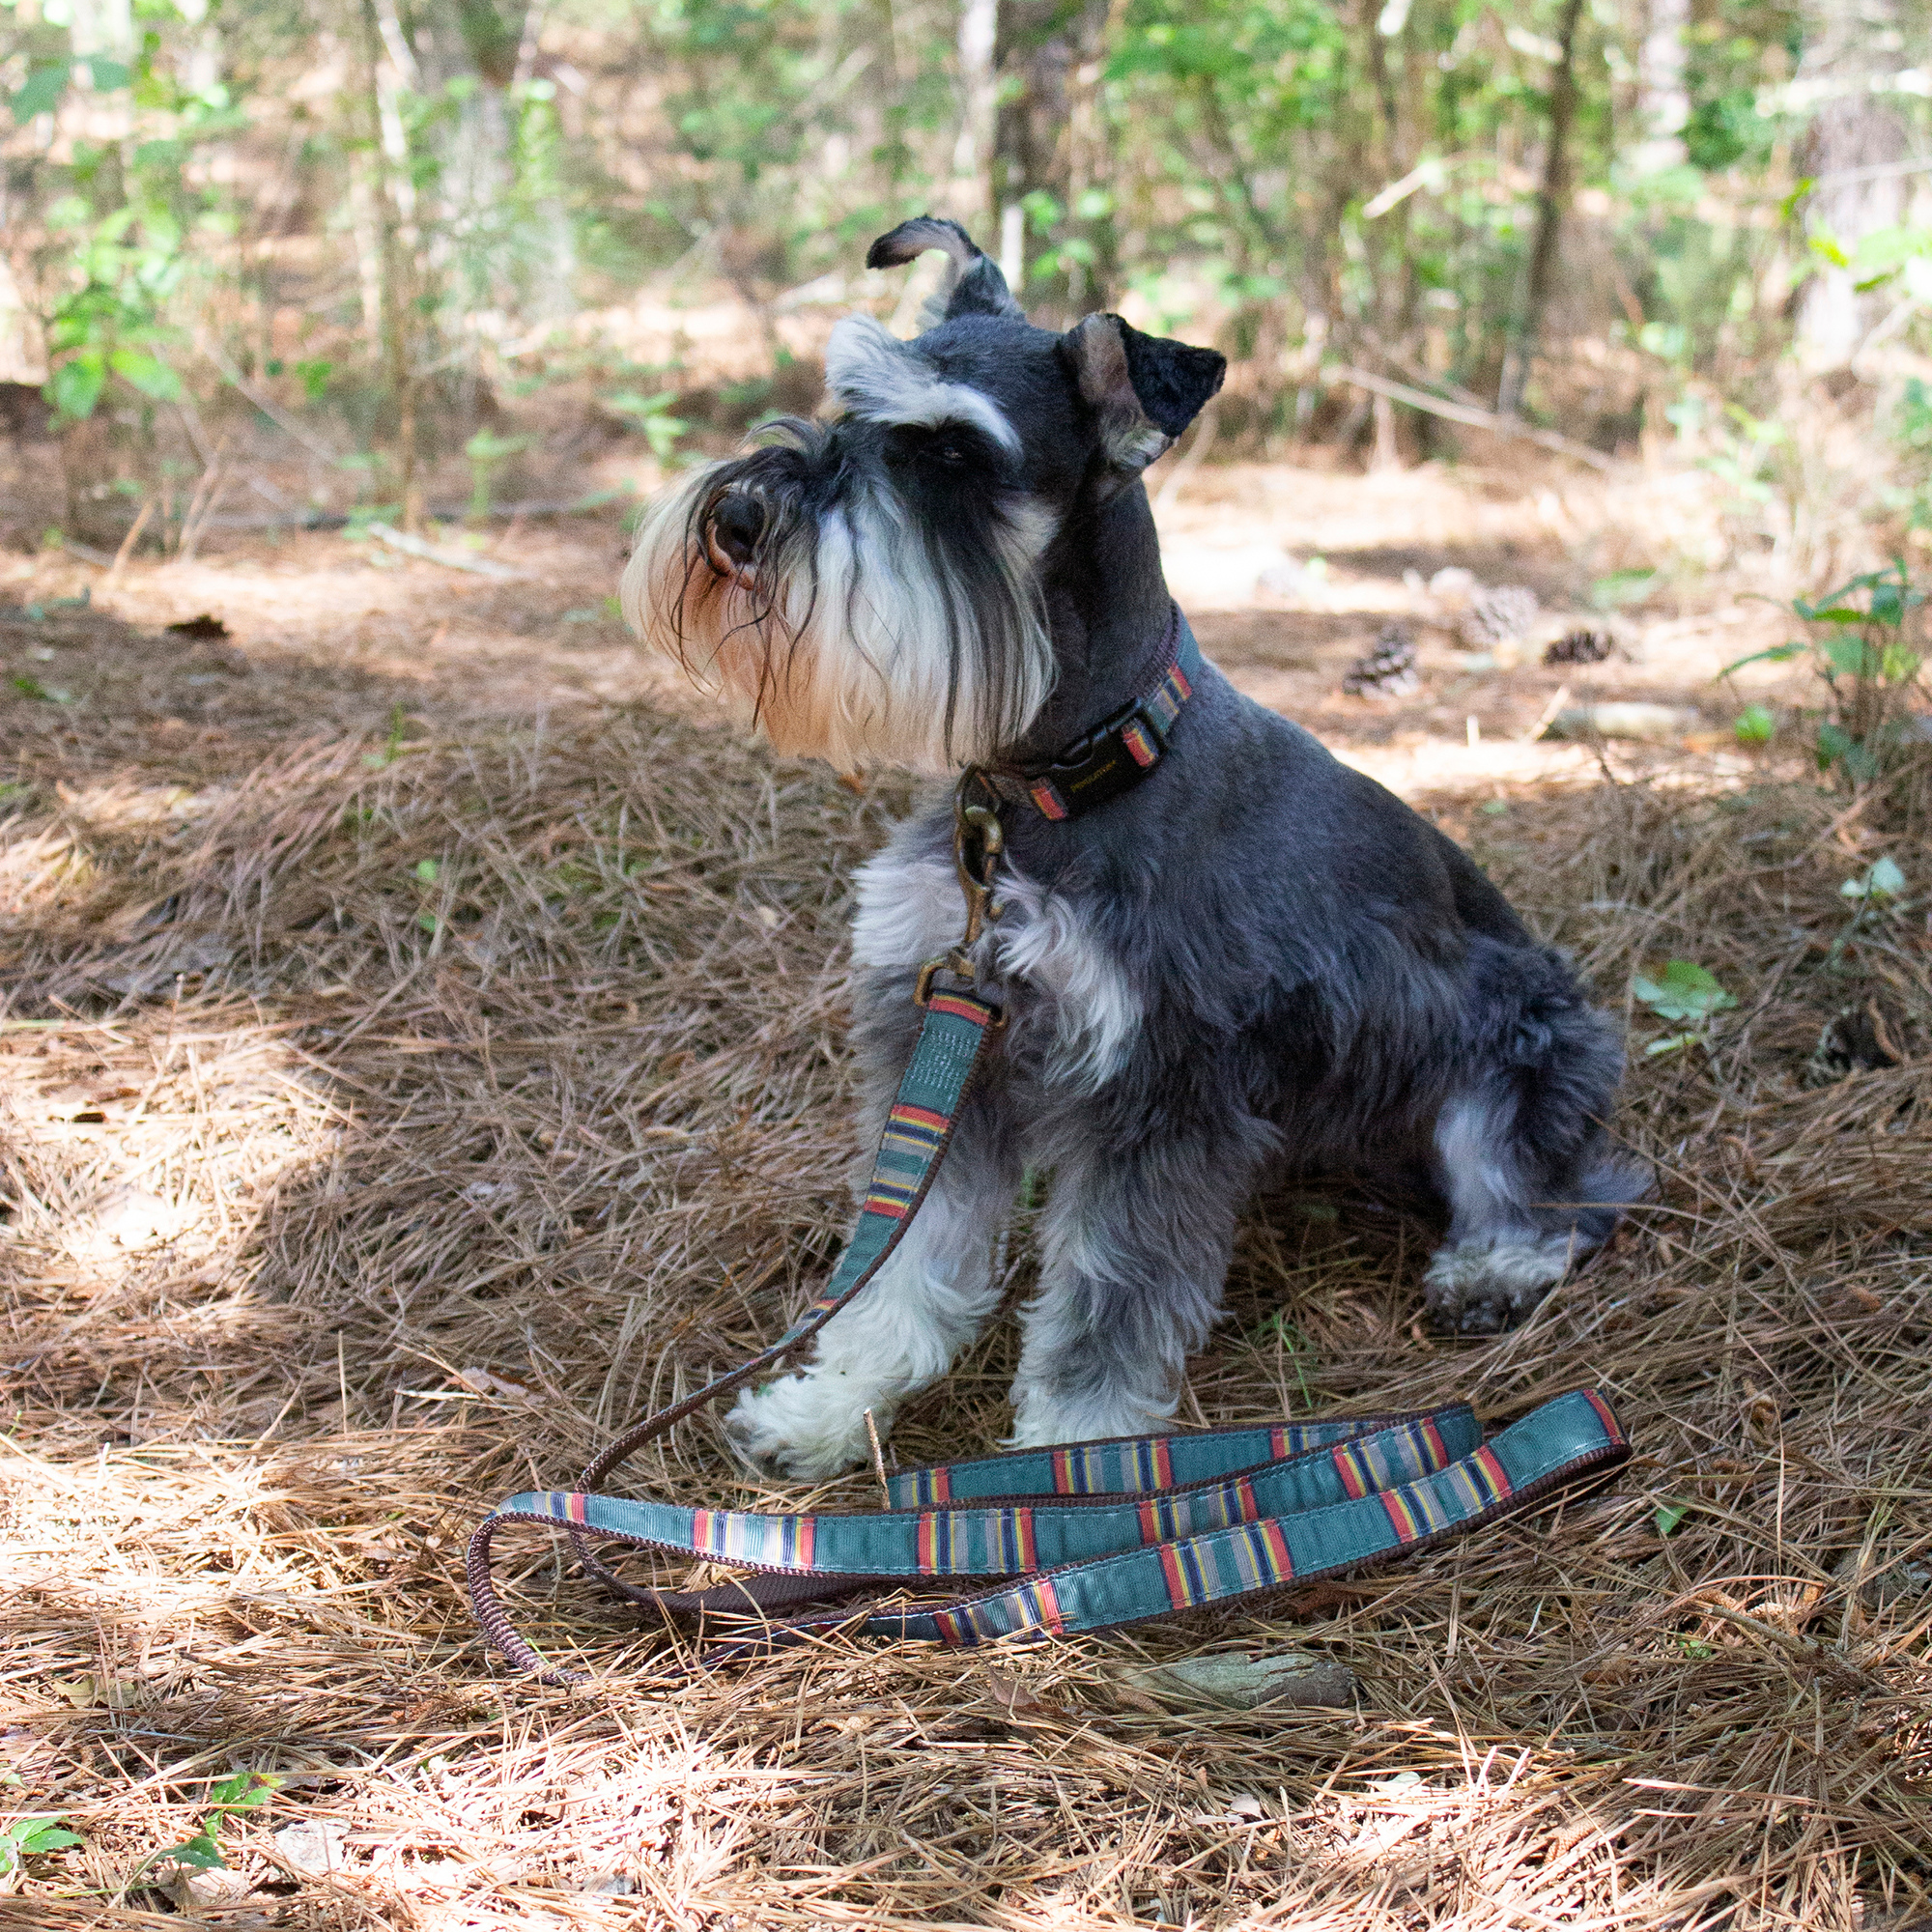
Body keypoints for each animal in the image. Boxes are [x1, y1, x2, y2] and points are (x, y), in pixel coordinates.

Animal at [622, 215, 1646, 1476]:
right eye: (844, 402)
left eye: (952, 453)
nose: (736, 520)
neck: (1055, 785)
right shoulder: (944, 1035)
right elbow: (905, 1258)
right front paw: (833, 1401)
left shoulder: (1160, 1093)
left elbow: (1106, 1303)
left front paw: (1075, 1465)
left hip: (1517, 1049)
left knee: (1559, 1189)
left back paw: (1493, 1266)